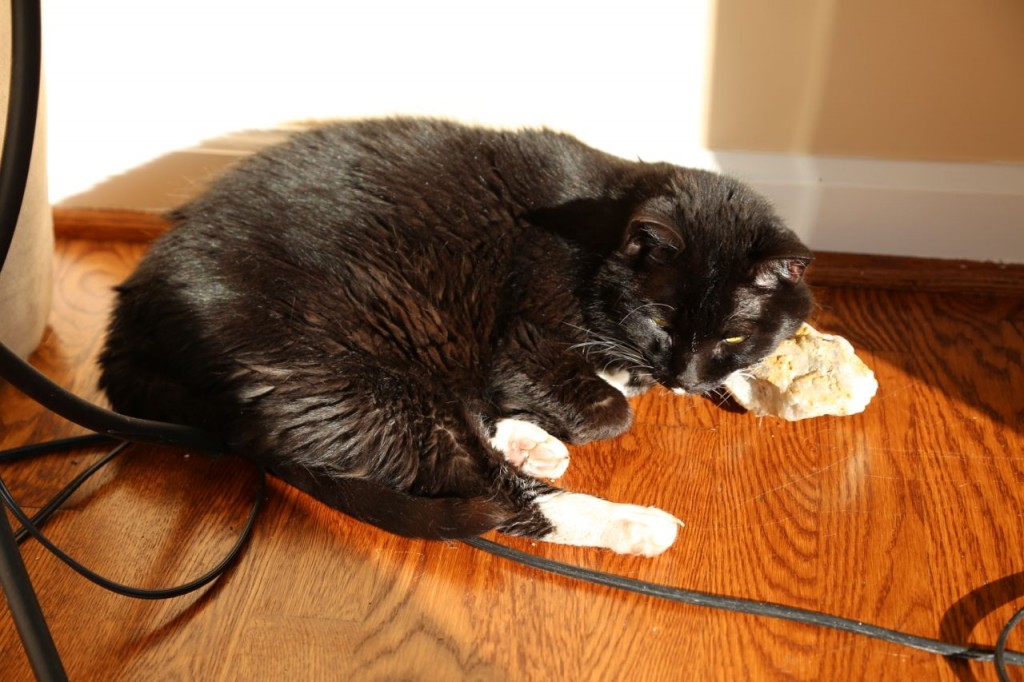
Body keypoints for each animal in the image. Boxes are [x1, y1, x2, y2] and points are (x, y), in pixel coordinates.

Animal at [99, 115, 811, 552]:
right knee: (482, 488)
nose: (684, 378)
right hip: (351, 369)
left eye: (731, 338)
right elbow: (611, 410)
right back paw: (633, 525)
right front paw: (620, 392)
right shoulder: (523, 345)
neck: (603, 229)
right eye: (662, 320)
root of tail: (129, 323)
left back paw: (532, 445)